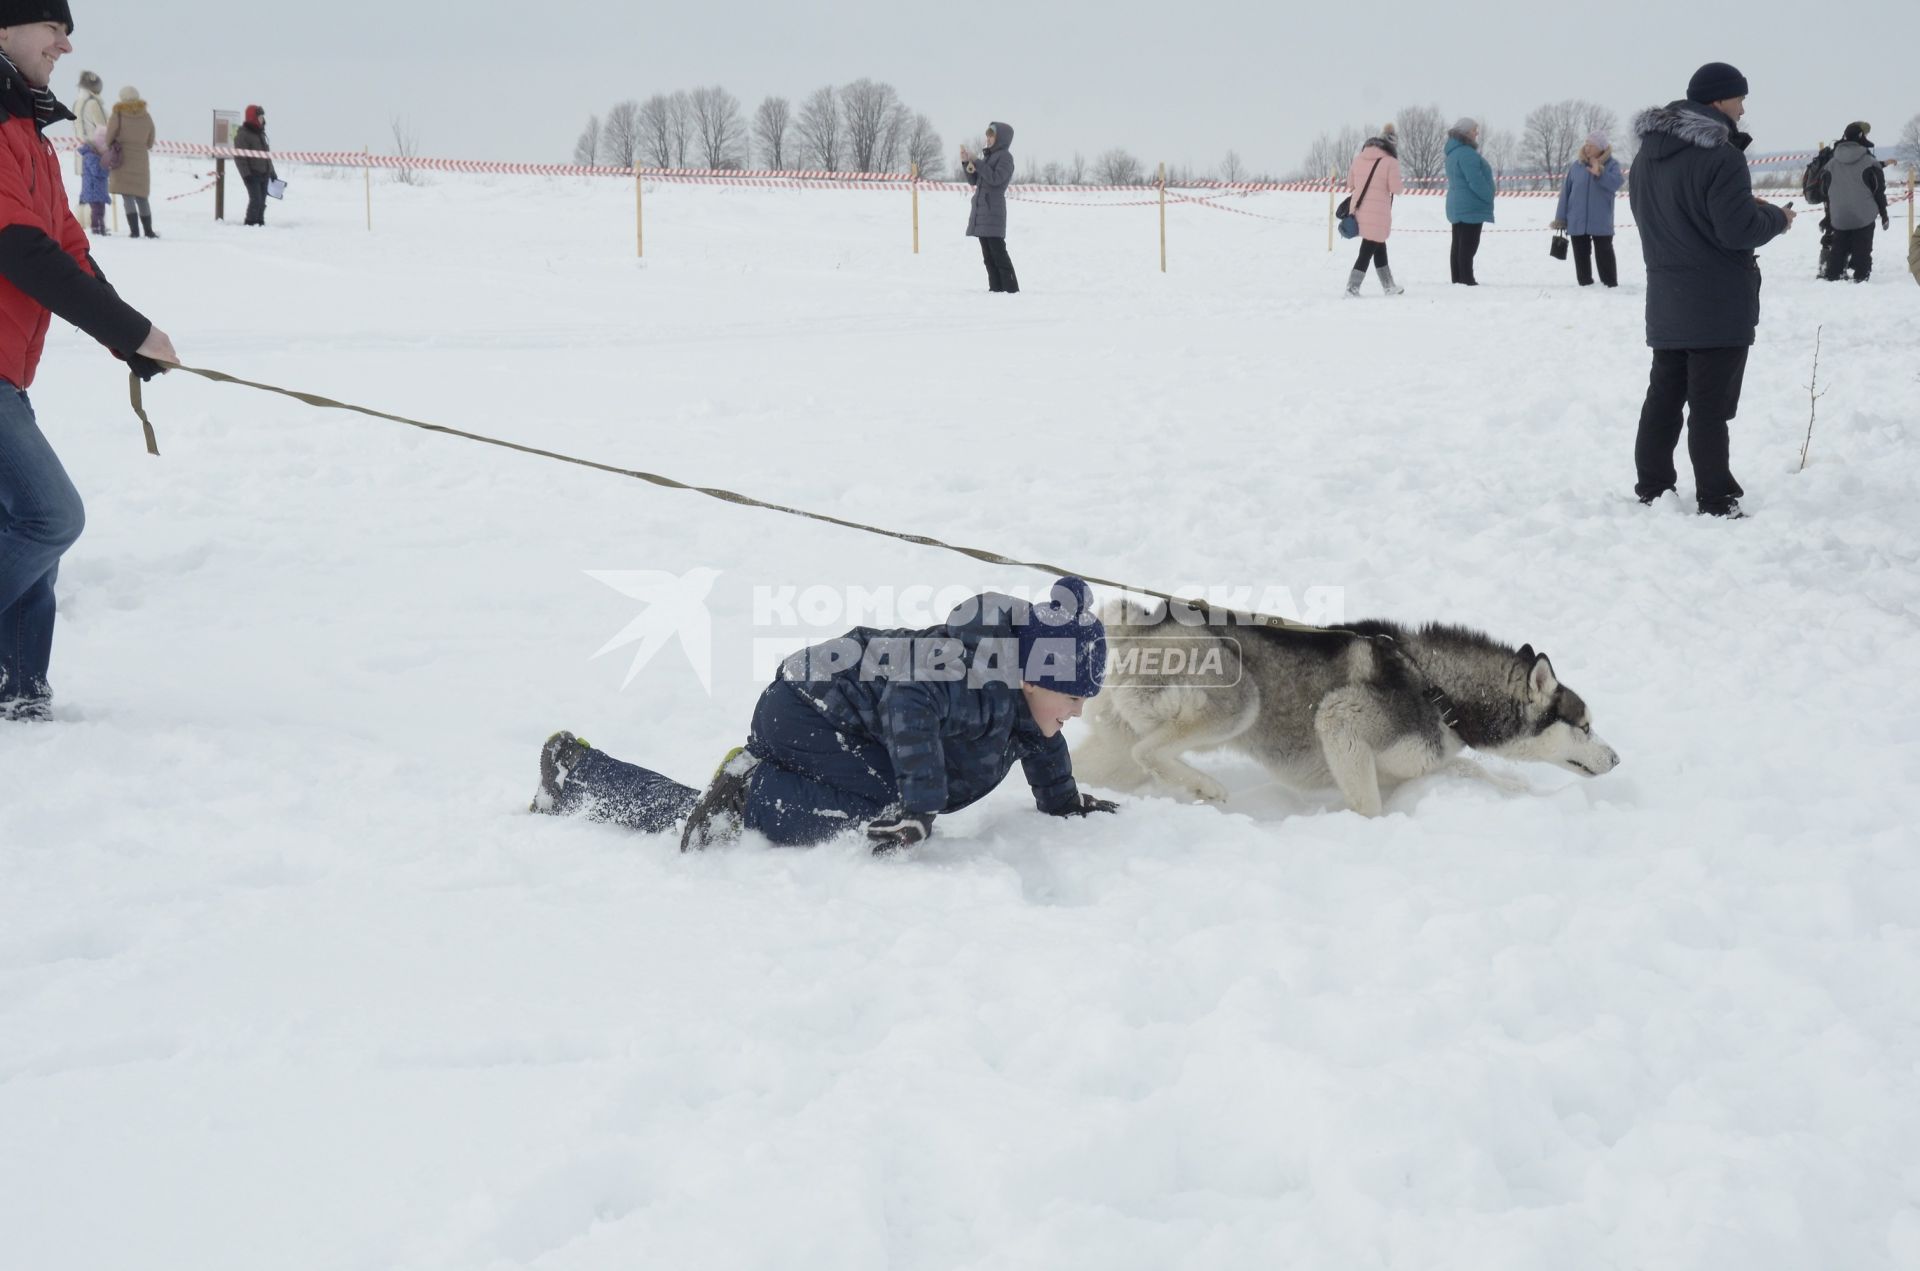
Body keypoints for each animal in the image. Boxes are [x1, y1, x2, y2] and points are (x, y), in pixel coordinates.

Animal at [1082, 602, 1620, 821]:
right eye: (1585, 726)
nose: (1616, 759)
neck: (1436, 689)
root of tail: (1136, 623)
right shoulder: (1339, 720)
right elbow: (1370, 806)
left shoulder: (1416, 764)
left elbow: (1467, 768)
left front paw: (1514, 787)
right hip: (1237, 701)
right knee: (1150, 752)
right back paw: (1204, 786)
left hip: (1116, 741)